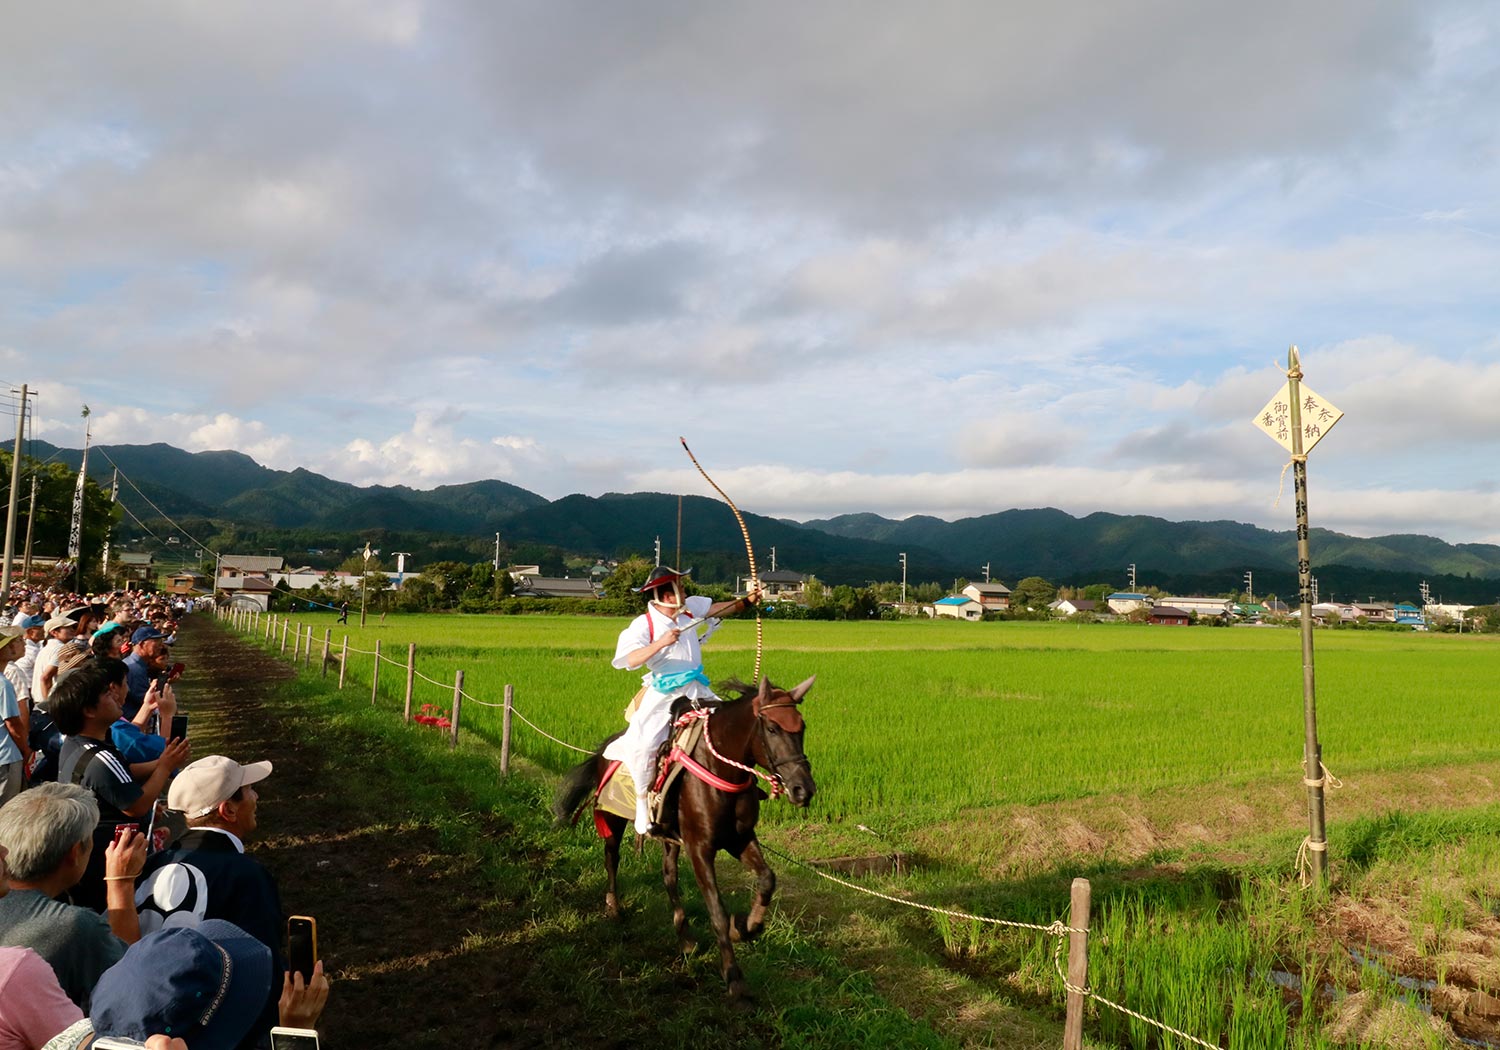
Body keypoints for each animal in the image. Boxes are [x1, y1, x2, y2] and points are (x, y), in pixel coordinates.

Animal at [552, 678, 816, 996]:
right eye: (773, 728)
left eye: (801, 727)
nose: (803, 789)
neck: (721, 768)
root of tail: (611, 744)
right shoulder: (700, 847)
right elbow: (717, 910)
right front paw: (733, 975)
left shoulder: (739, 839)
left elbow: (767, 879)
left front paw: (746, 927)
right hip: (613, 818)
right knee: (612, 857)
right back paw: (614, 907)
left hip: (669, 837)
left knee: (669, 875)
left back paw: (685, 937)